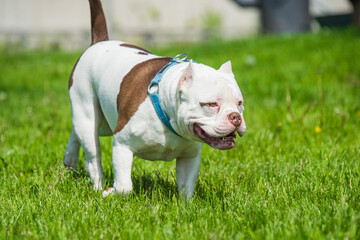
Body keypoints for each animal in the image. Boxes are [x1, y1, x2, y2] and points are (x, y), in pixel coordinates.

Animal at [63, 0, 246, 199]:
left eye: (239, 103)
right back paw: (97, 186)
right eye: (211, 104)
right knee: (92, 156)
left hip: (103, 123)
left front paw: (186, 204)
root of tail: (100, 42)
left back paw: (69, 160)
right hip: (88, 116)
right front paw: (111, 192)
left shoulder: (189, 156)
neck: (165, 111)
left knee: (76, 133)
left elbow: (186, 188)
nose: (235, 117)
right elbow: (125, 186)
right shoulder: (122, 145)